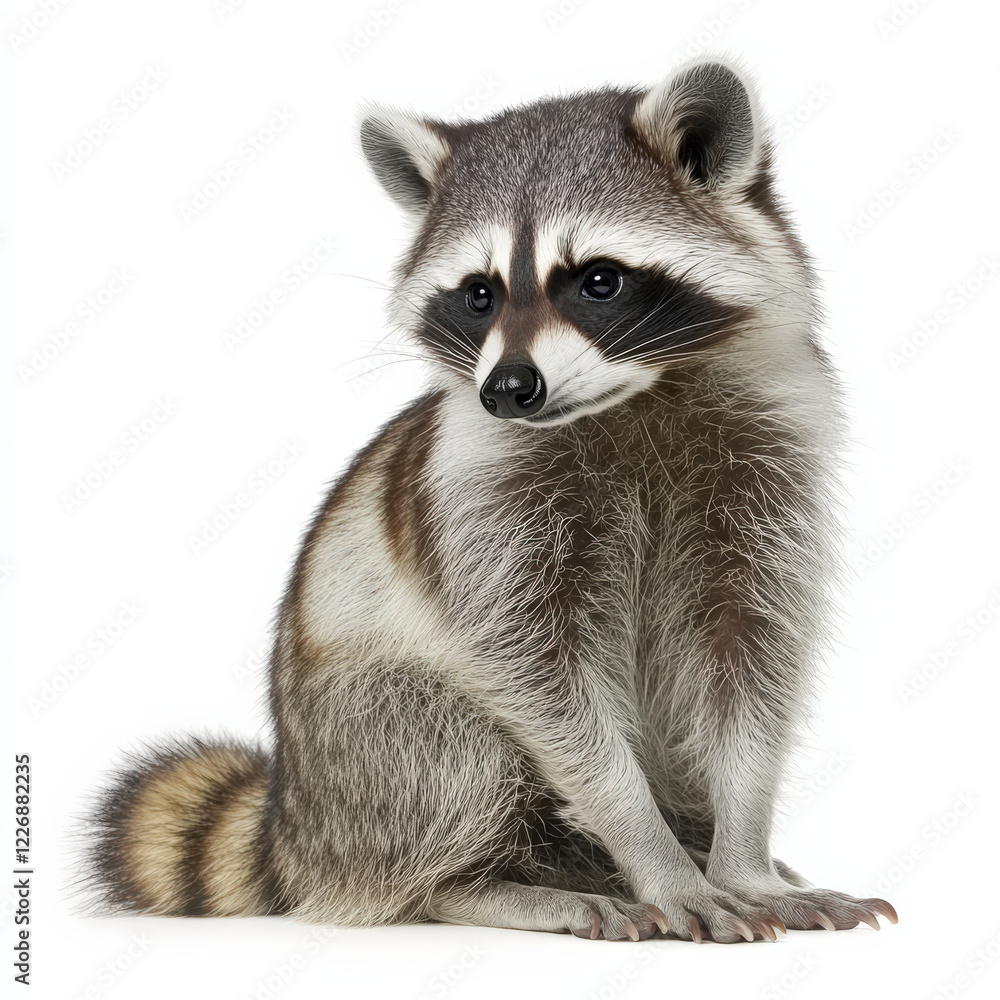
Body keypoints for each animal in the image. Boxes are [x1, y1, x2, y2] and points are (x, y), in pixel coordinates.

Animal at [82, 56, 897, 942]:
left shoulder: (774, 461)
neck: (632, 398)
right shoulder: (481, 493)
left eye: (599, 281)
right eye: (479, 294)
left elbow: (751, 654)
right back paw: (487, 882)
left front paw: (744, 853)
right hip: (356, 745)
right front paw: (654, 856)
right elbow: (543, 681)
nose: (508, 388)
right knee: (446, 745)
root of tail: (294, 826)